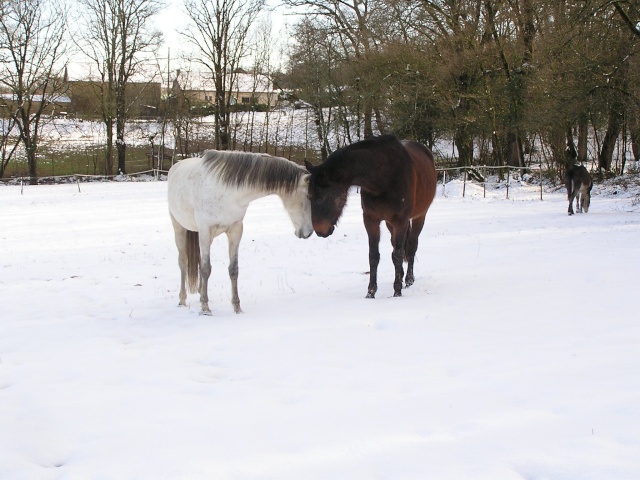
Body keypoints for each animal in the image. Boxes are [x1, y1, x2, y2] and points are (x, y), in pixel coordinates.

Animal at [168, 150, 312, 316]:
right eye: (309, 196)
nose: (308, 233)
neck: (226, 191)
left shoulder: (235, 230)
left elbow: (233, 269)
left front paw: (237, 307)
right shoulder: (205, 231)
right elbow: (206, 269)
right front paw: (205, 308)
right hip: (179, 228)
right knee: (183, 262)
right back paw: (182, 300)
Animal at [304, 135, 436, 298]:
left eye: (322, 197)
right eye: (309, 196)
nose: (320, 231)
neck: (384, 178)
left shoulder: (401, 221)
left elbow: (398, 255)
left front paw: (397, 291)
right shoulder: (371, 220)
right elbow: (374, 256)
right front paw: (370, 292)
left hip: (419, 216)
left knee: (411, 246)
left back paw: (409, 279)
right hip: (389, 223)